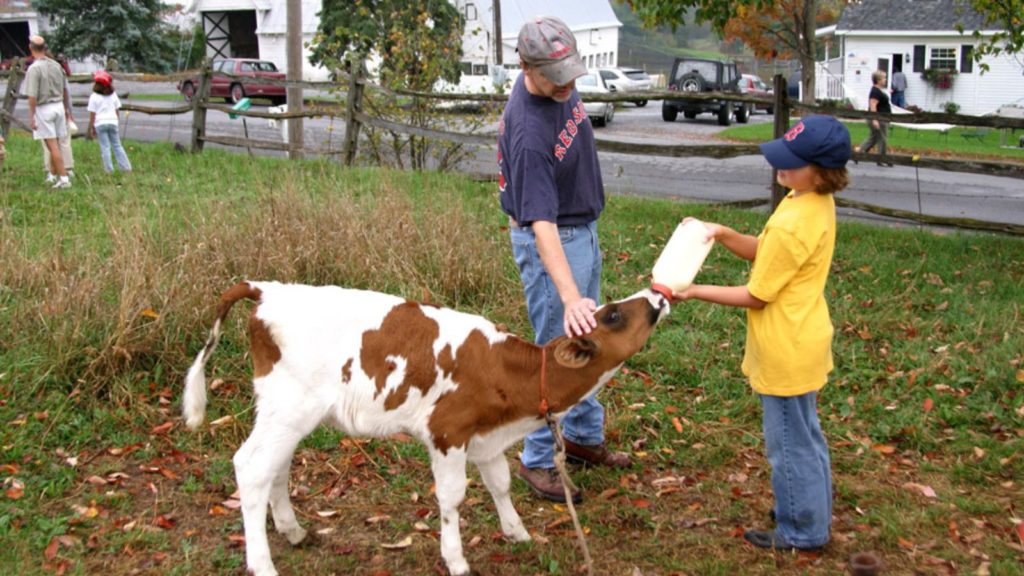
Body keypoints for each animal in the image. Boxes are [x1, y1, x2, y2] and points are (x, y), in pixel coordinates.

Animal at [183, 280, 667, 569]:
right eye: (613, 315)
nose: (657, 295)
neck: (512, 374)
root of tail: (266, 288)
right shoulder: (447, 431)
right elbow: (452, 497)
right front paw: (456, 559)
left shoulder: (485, 439)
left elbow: (501, 483)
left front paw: (518, 533)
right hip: (289, 406)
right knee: (251, 467)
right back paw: (262, 562)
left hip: (286, 412)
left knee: (275, 467)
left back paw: (294, 531)